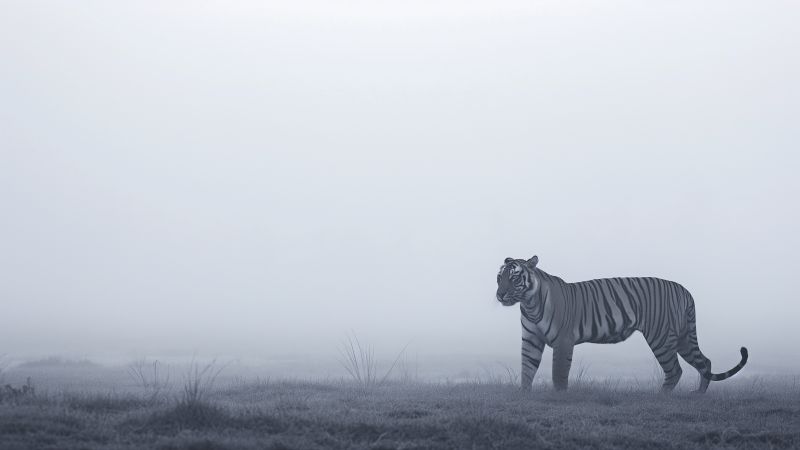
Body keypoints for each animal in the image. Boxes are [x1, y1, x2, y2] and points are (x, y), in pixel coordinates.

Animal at [496, 255, 748, 392]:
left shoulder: (563, 342)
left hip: (661, 338)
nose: (500, 295)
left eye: (515, 277)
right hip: (683, 337)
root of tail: (685, 290)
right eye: (500, 277)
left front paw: (558, 397)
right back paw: (698, 394)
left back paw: (659, 397)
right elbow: (527, 369)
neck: (529, 304)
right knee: (704, 362)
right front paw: (524, 395)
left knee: (676, 370)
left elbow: (558, 373)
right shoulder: (530, 340)